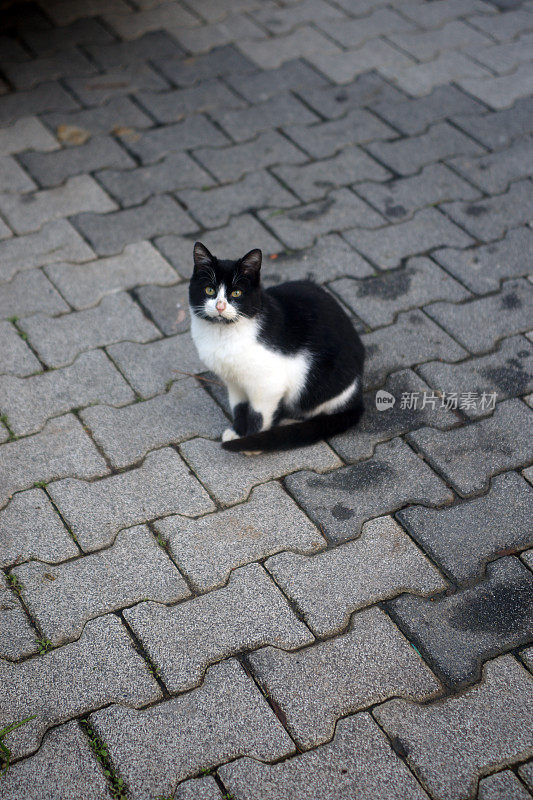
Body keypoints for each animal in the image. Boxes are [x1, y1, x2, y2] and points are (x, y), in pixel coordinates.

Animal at [188, 238, 366, 454]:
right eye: (209, 290)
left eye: (236, 293)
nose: (220, 306)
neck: (223, 335)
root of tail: (357, 393)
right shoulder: (234, 381)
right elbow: (239, 407)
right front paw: (238, 431)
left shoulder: (269, 384)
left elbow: (258, 414)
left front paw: (252, 441)